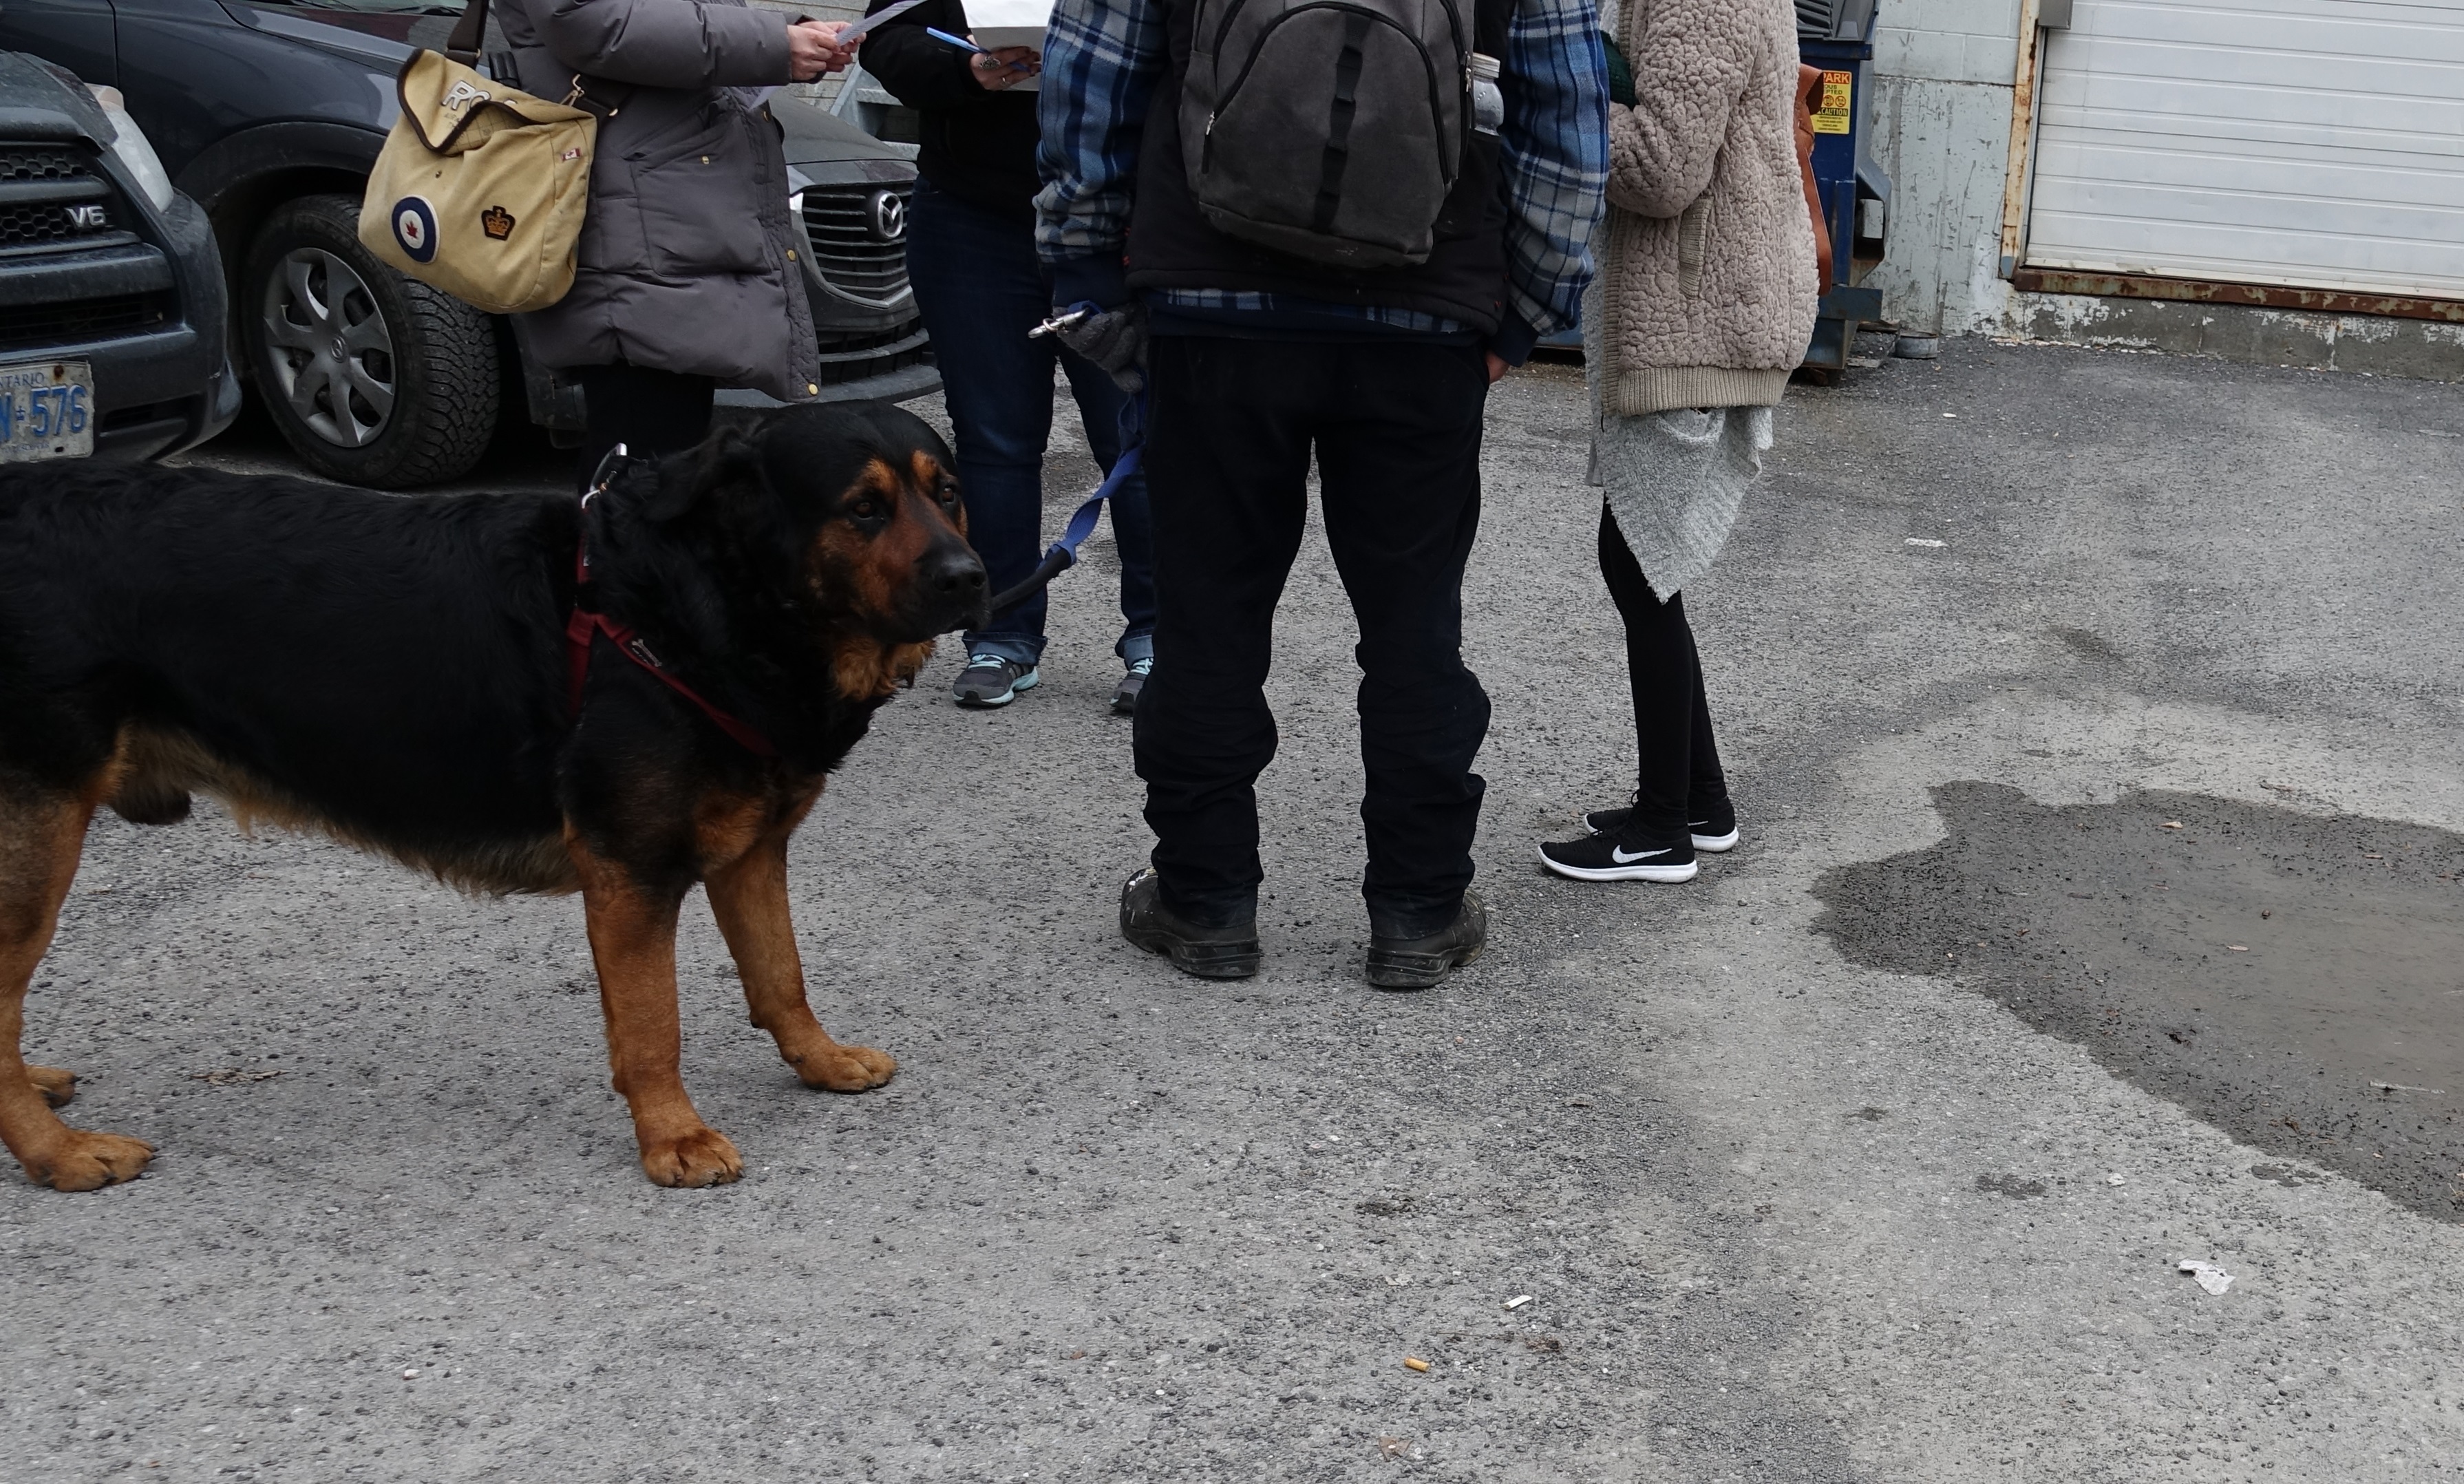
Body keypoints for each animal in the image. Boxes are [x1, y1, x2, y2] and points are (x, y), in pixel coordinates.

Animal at [0, 399, 980, 1183]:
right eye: (862, 508)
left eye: (949, 491)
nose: (971, 578)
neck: (696, 603)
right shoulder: (631, 873)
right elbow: (651, 1025)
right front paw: (673, 1136)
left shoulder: (750, 848)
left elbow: (780, 974)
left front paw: (819, 1061)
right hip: (37, 844)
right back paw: (56, 1151)